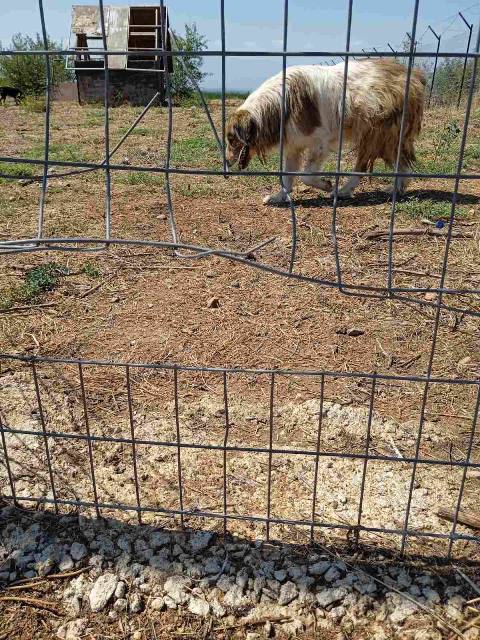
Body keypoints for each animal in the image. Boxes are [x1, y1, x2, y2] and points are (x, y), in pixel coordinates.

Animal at [227, 59, 426, 204]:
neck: (280, 105)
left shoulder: (321, 143)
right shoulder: (293, 147)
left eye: (232, 140)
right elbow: (287, 176)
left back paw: (344, 191)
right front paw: (280, 197)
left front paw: (326, 185)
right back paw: (395, 188)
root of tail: (414, 74)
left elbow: (305, 175)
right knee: (400, 165)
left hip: (378, 134)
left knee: (363, 167)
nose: (227, 164)